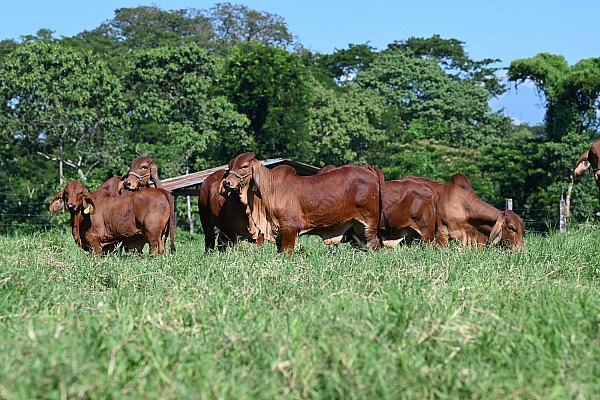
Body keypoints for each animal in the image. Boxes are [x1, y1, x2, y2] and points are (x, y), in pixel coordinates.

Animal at [223, 152, 386, 255]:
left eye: (244, 166)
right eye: (230, 166)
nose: (226, 182)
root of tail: (369, 169)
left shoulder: (289, 229)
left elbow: (286, 252)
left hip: (370, 222)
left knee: (374, 245)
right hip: (358, 226)